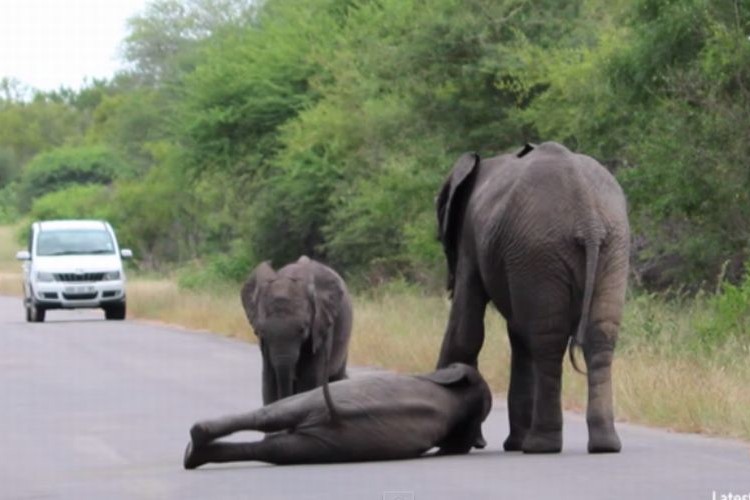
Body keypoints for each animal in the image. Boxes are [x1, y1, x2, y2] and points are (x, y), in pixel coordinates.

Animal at [438, 141, 632, 454]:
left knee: (547, 343)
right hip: (610, 248)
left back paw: (540, 446)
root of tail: (587, 218)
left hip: (541, 251)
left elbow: (465, 330)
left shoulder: (470, 241)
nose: (479, 442)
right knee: (598, 338)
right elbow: (517, 336)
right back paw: (604, 445)